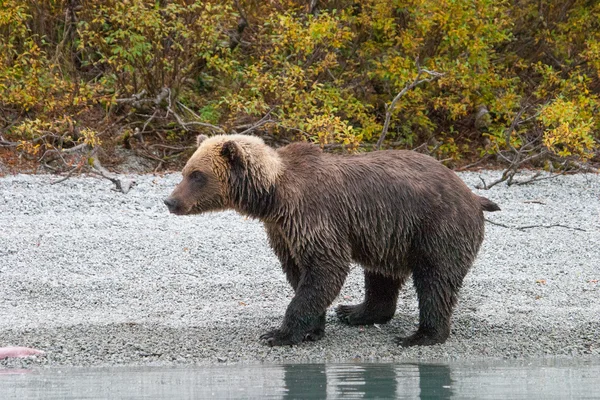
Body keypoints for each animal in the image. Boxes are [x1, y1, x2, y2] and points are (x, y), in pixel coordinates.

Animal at [165, 134, 502, 346]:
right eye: (185, 171)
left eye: (197, 175)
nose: (170, 201)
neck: (272, 196)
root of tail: (472, 194)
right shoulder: (283, 231)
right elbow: (299, 273)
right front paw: (313, 329)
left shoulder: (312, 215)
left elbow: (324, 269)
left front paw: (278, 334)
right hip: (388, 234)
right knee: (381, 275)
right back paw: (356, 311)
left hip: (436, 227)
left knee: (435, 280)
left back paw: (422, 335)